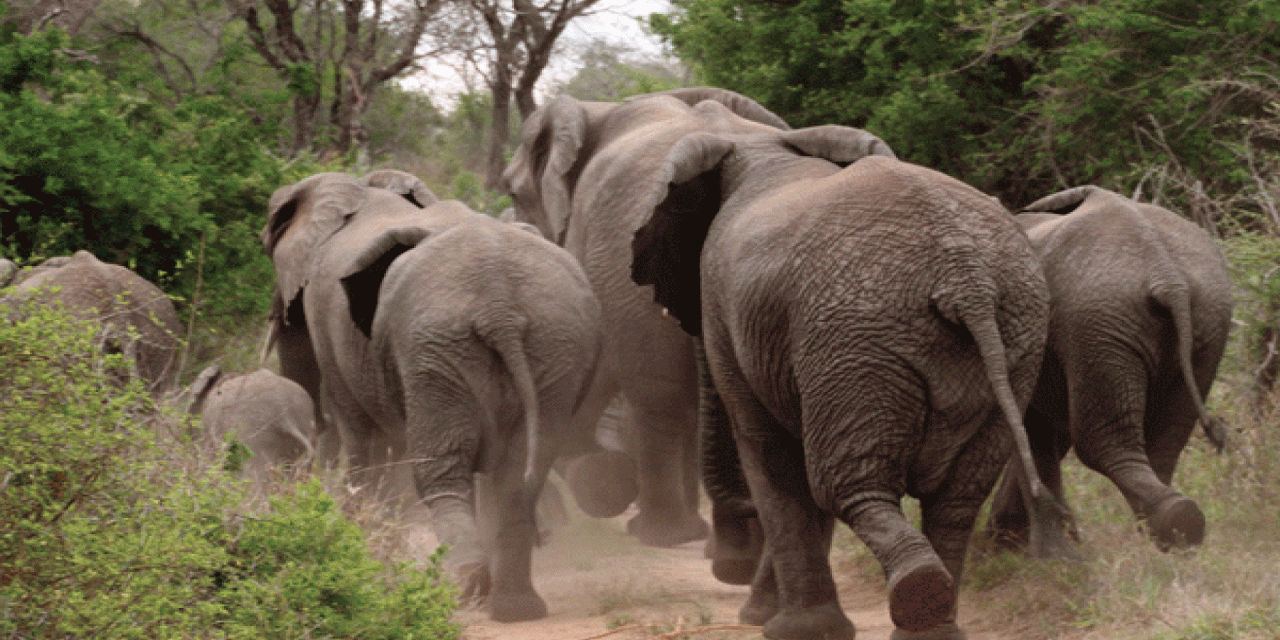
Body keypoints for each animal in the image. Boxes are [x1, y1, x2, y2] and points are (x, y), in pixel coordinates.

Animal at [259, 168, 624, 619]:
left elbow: (363, 440)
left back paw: (464, 587)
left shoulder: (326, 316)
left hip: (436, 349)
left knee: (441, 468)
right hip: (552, 343)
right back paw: (515, 607)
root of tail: (499, 307)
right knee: (516, 475)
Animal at [624, 116, 1064, 640]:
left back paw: (915, 594)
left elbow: (770, 456)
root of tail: (965, 277)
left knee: (844, 483)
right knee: (956, 497)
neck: (764, 149)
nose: (729, 565)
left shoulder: (725, 307)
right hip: (1012, 336)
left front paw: (788, 629)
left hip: (856, 342)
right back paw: (930, 623)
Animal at [983, 186, 1233, 555]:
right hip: (1203, 322)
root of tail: (1167, 275)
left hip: (1099, 321)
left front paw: (1036, 555)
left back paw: (1171, 526)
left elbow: (1033, 431)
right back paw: (1169, 533)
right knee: (1167, 439)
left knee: (1100, 442)